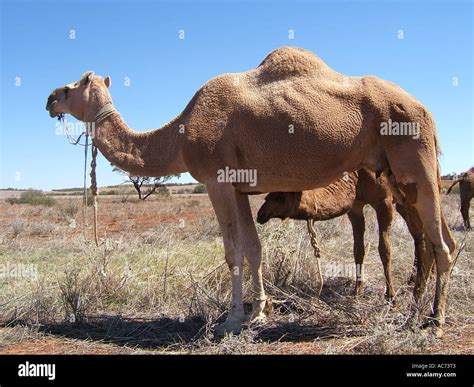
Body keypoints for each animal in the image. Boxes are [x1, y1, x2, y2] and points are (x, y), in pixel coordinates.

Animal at [258, 169, 424, 300]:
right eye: (268, 196)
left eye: (280, 197)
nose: (261, 214)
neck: (355, 178)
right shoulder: (355, 207)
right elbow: (358, 250)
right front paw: (357, 291)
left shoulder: (384, 201)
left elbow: (385, 249)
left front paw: (391, 296)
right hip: (403, 204)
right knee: (418, 236)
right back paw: (412, 282)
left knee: (422, 234)